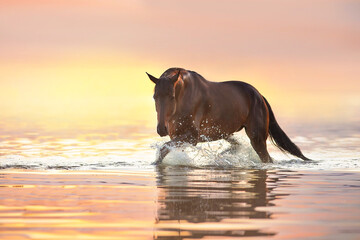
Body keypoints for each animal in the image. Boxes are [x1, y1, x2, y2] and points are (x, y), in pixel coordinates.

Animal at [146, 68, 310, 164]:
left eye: (172, 97)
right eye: (154, 97)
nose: (161, 129)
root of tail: (259, 96)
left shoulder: (192, 137)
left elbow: (163, 149)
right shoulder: (178, 136)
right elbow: (166, 150)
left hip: (257, 138)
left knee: (267, 159)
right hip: (225, 132)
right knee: (237, 145)